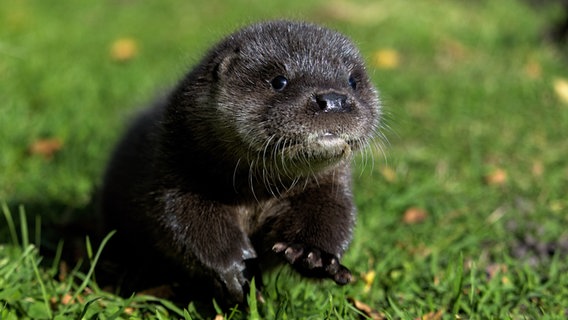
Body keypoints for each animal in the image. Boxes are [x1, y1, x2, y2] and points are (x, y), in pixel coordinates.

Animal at [98, 19, 382, 304]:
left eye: (352, 81)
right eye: (279, 81)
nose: (333, 100)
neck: (256, 196)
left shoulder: (327, 186)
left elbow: (334, 214)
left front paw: (315, 255)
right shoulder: (175, 168)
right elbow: (184, 221)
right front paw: (235, 269)